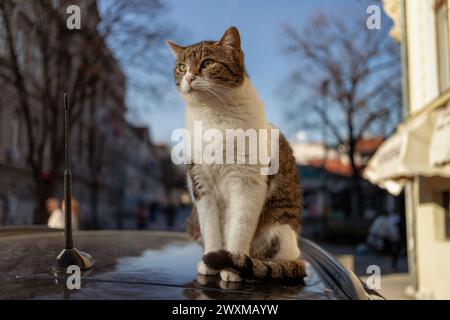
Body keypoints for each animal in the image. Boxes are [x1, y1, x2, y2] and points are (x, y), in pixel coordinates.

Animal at [167, 26, 308, 282]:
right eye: (181, 67)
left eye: (208, 63)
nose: (189, 77)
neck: (213, 115)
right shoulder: (201, 184)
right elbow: (212, 229)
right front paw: (211, 262)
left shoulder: (247, 183)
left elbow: (240, 228)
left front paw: (232, 266)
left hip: (279, 229)